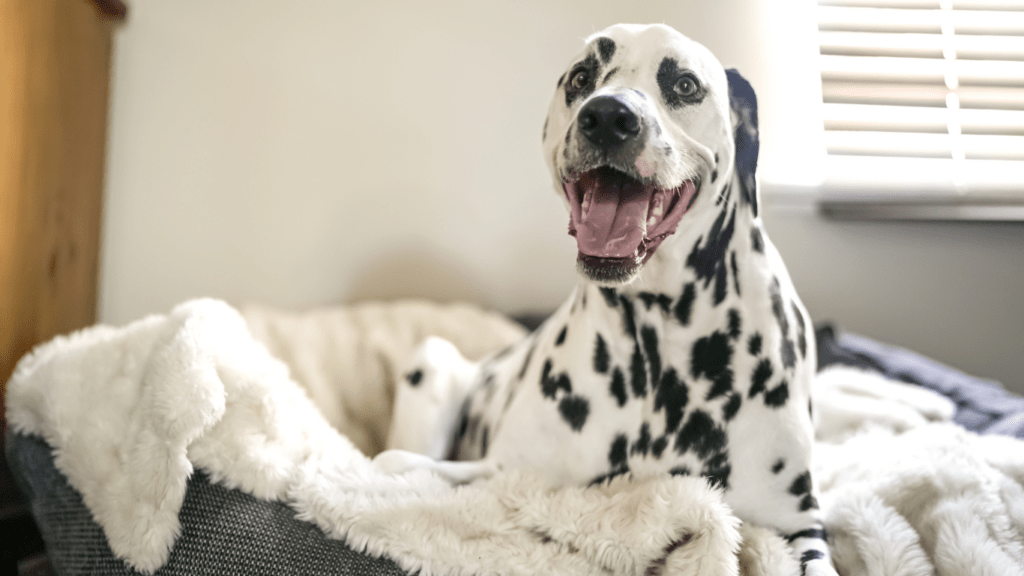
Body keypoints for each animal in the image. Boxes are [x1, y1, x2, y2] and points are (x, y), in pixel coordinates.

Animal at [380, 23, 835, 573]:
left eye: (685, 84)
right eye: (581, 77)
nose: (608, 117)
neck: (656, 347)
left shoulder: (796, 527)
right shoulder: (505, 475)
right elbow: (397, 466)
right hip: (433, 359)